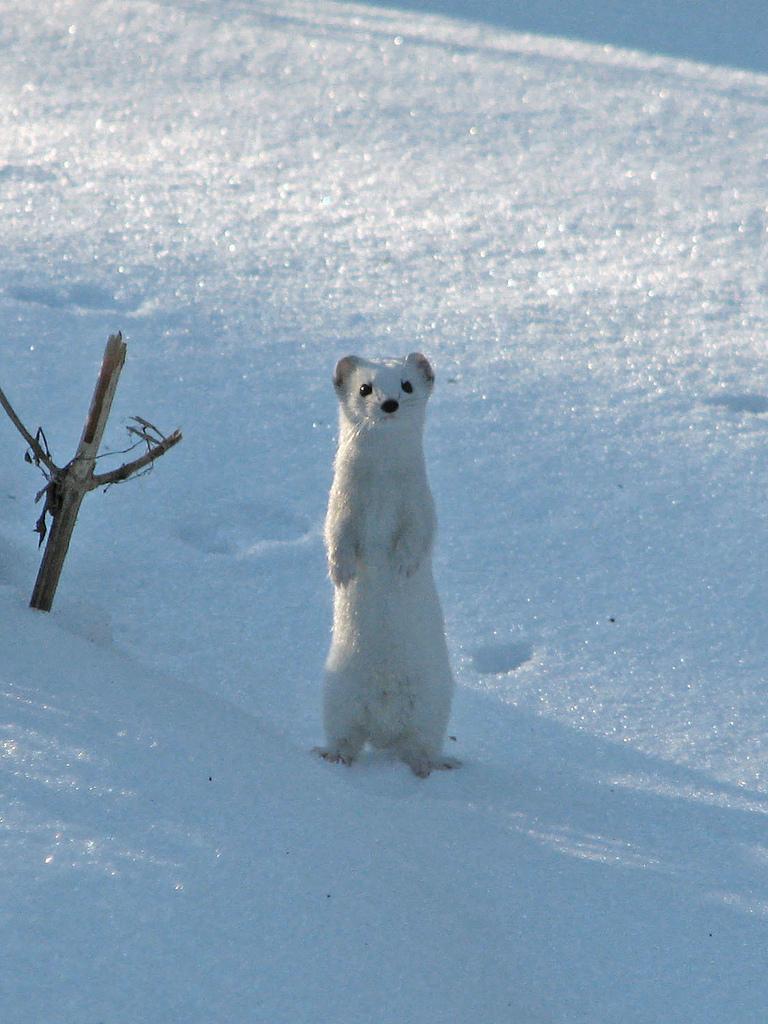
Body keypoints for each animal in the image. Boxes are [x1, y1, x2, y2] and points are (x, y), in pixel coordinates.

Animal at [317, 352, 460, 774]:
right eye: (365, 387)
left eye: (407, 385)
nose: (390, 403)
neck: (381, 486)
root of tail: (383, 729)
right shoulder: (339, 507)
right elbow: (336, 538)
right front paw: (341, 572)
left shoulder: (421, 506)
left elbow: (418, 536)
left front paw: (402, 566)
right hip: (336, 694)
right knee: (346, 736)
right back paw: (333, 755)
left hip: (433, 702)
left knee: (420, 745)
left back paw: (428, 767)